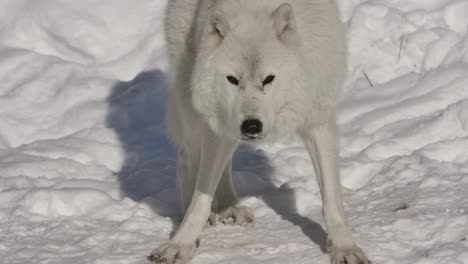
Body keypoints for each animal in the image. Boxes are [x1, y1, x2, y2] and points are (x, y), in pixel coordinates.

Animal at [150, 0, 370, 264]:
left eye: (268, 79)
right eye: (233, 80)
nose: (251, 126)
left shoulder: (318, 119)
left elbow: (331, 198)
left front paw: (344, 247)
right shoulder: (219, 125)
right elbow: (200, 199)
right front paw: (181, 244)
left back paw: (229, 207)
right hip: (193, 108)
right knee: (186, 159)